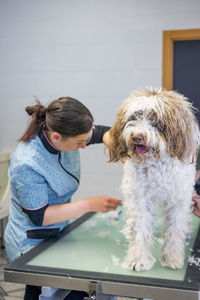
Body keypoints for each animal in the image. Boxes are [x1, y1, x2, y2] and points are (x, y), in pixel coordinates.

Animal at [108, 88, 200, 270]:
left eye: (156, 121)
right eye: (134, 117)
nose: (137, 136)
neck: (155, 163)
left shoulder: (179, 200)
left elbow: (174, 229)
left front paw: (172, 257)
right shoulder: (139, 199)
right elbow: (140, 229)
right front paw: (138, 259)